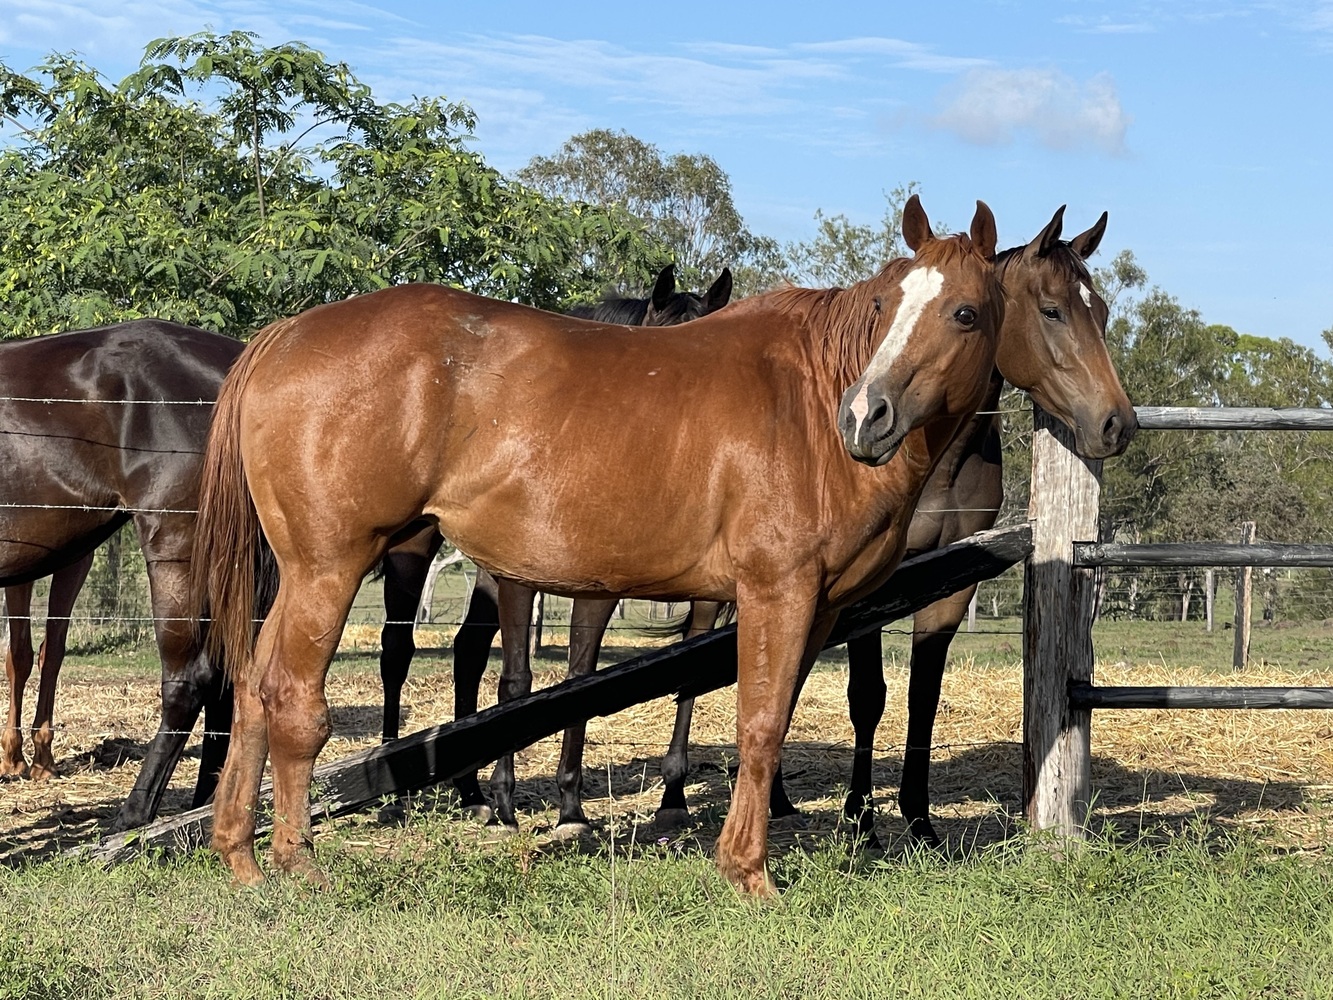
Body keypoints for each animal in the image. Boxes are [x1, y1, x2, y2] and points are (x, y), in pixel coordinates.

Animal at [376, 266, 734, 837]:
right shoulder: (519, 580)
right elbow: (516, 681)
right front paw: (508, 798)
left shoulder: (612, 588)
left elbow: (591, 681)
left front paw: (581, 807)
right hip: (413, 549)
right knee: (398, 650)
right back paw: (399, 797)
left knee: (467, 652)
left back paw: (470, 792)